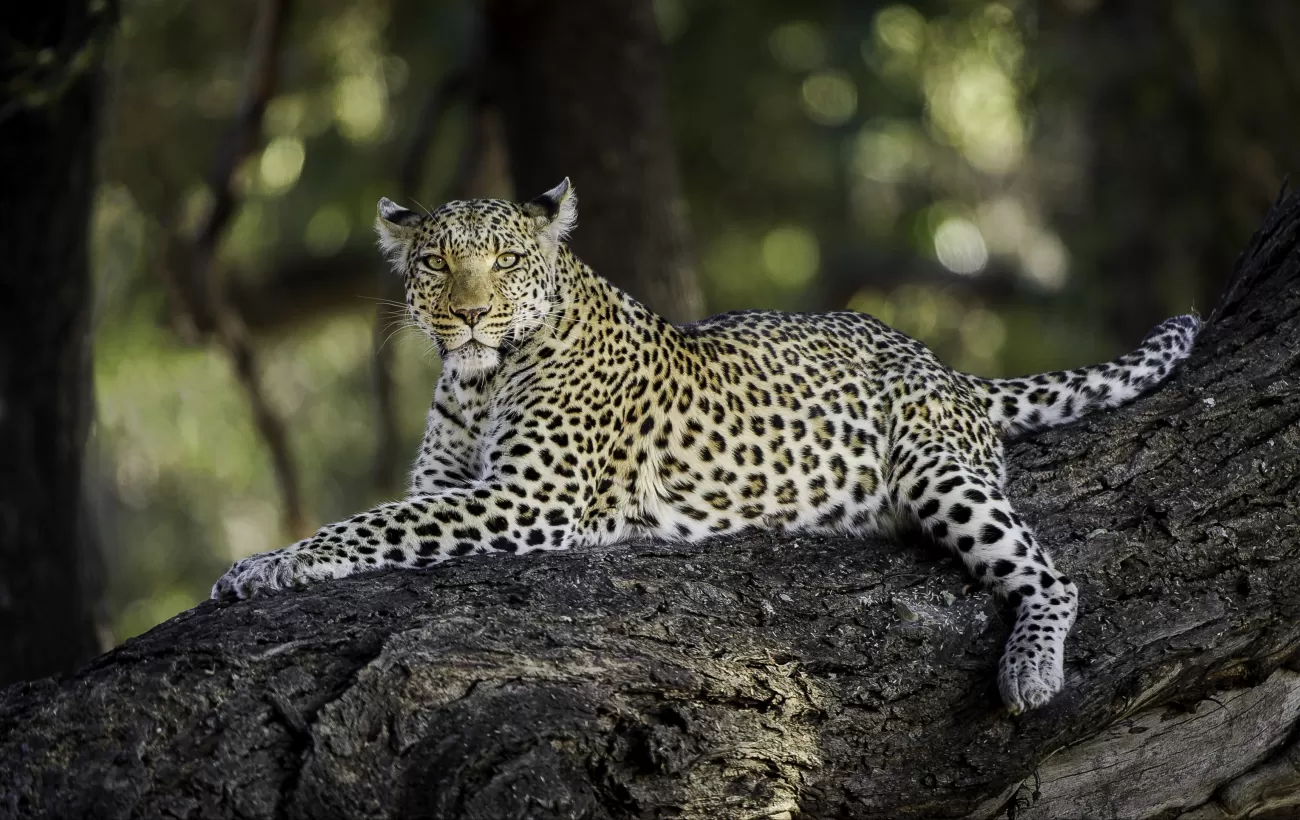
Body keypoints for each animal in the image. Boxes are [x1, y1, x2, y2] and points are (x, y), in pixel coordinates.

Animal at [210, 178, 1196, 712]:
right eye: (435, 263)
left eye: (506, 262)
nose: (471, 315)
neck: (478, 380)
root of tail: (942, 364)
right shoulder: (450, 485)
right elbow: (382, 515)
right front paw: (263, 559)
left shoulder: (529, 500)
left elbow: (369, 525)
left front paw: (271, 566)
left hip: (937, 468)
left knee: (1053, 576)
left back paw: (1029, 671)